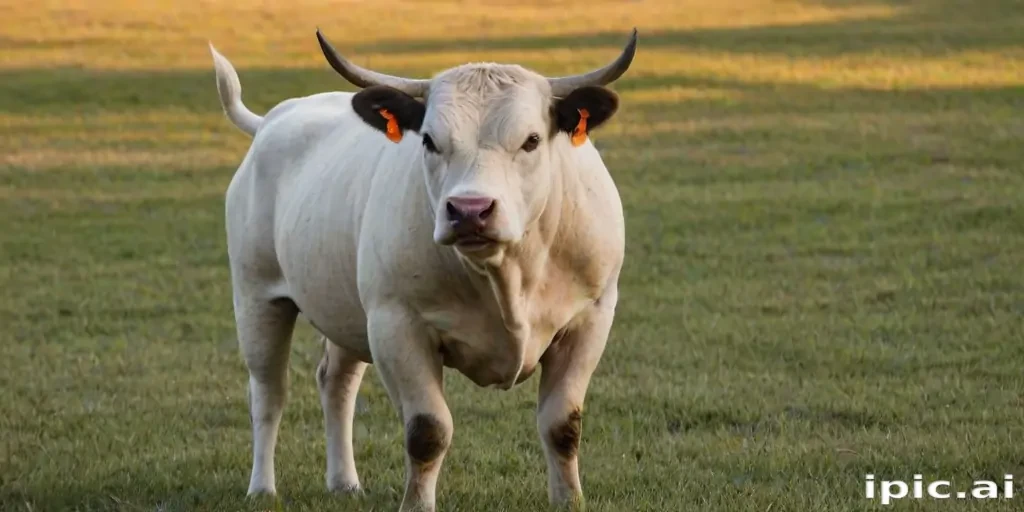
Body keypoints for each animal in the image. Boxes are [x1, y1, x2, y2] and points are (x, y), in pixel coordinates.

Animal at [208, 27, 637, 511]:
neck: (505, 276)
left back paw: (344, 481)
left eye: (531, 140)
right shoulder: (397, 324)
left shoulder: (591, 318)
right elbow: (428, 431)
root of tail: (272, 120)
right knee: (268, 392)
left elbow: (563, 425)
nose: (470, 210)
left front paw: (569, 500)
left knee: (336, 383)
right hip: (257, 295)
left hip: (346, 311)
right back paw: (262, 487)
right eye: (429, 140)